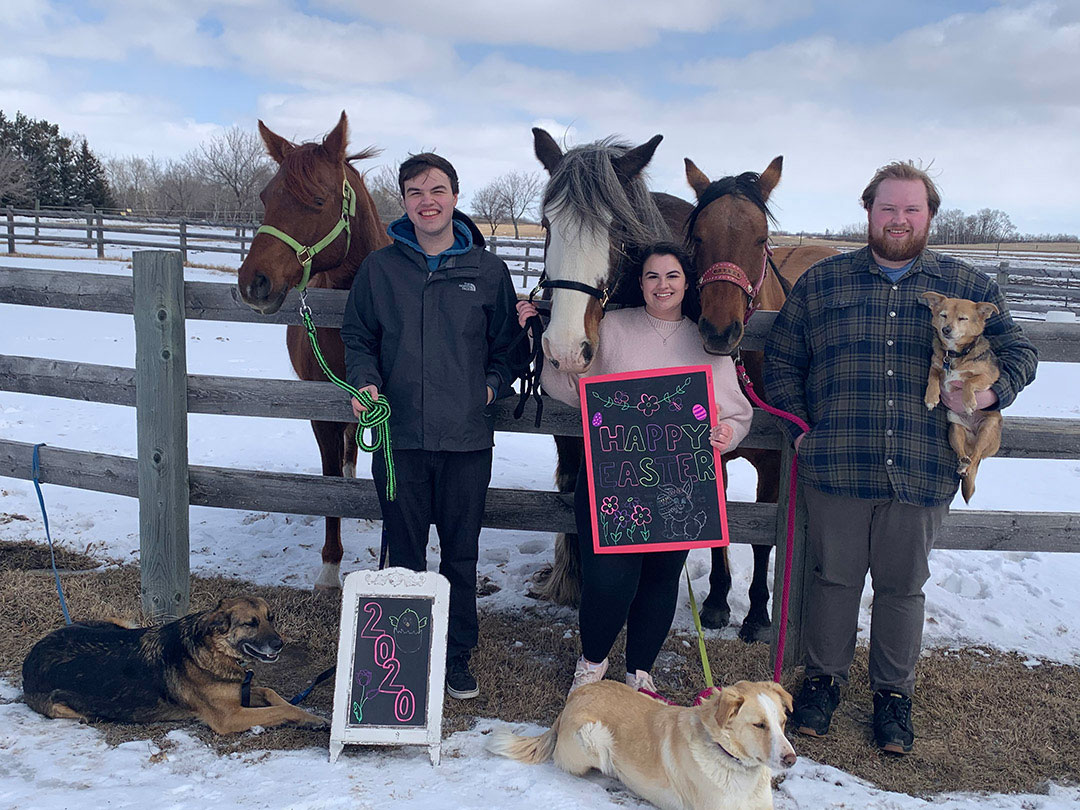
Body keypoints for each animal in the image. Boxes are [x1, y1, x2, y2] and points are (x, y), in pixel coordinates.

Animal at [238, 112, 390, 591]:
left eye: (318, 199)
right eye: (266, 196)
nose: (253, 283)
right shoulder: (320, 413)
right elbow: (329, 482)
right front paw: (329, 568)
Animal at [686, 156, 838, 639]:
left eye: (761, 238)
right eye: (699, 236)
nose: (719, 331)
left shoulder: (774, 468)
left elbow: (760, 542)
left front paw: (756, 613)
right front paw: (716, 602)